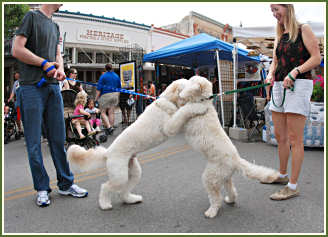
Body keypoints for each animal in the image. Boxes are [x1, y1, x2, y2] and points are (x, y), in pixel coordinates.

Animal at [67, 79, 208, 209]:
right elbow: (184, 111)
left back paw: (131, 199)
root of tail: (108, 153)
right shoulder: (170, 127)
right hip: (119, 176)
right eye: (189, 84)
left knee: (124, 191)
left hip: (134, 172)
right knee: (105, 187)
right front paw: (200, 107)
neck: (169, 101)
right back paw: (104, 204)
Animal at [164, 76, 280, 218]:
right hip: (224, 177)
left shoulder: (184, 116)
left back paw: (212, 212)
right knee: (232, 191)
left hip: (211, 177)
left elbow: (180, 112)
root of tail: (236, 160)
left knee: (216, 198)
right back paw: (230, 200)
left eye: (190, 81)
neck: (203, 101)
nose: (183, 81)